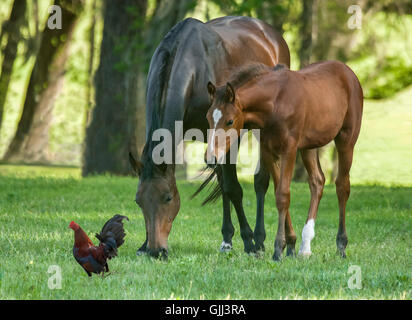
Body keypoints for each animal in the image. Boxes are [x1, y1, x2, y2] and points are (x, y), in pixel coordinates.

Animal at [208, 61, 362, 262]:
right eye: (208, 118)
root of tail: (348, 72)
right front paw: (290, 244)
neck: (275, 102)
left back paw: (341, 245)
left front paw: (278, 249)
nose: (211, 158)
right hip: (308, 146)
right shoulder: (268, 151)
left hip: (346, 139)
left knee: (342, 186)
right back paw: (305, 246)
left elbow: (282, 195)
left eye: (229, 121)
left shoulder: (289, 148)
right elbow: (279, 192)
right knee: (317, 181)